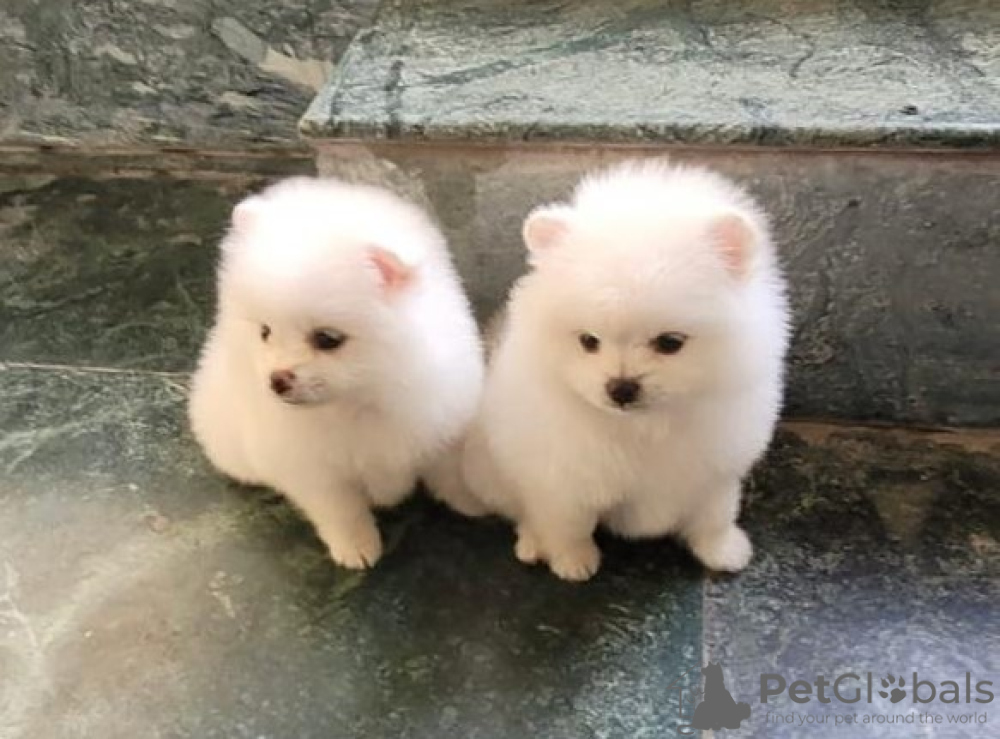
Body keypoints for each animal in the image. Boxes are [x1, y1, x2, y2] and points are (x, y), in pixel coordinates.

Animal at [188, 177, 484, 568]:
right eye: (265, 332)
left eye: (327, 339)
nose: (277, 380)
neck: (358, 400)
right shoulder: (316, 471)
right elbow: (342, 510)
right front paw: (356, 547)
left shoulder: (440, 423)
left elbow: (450, 472)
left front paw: (472, 501)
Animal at [462, 160, 789, 580]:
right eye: (588, 340)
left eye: (669, 342)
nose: (620, 387)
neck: (643, 427)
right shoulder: (564, 476)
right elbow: (569, 523)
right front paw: (572, 561)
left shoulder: (714, 469)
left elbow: (714, 514)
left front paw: (723, 550)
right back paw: (534, 543)